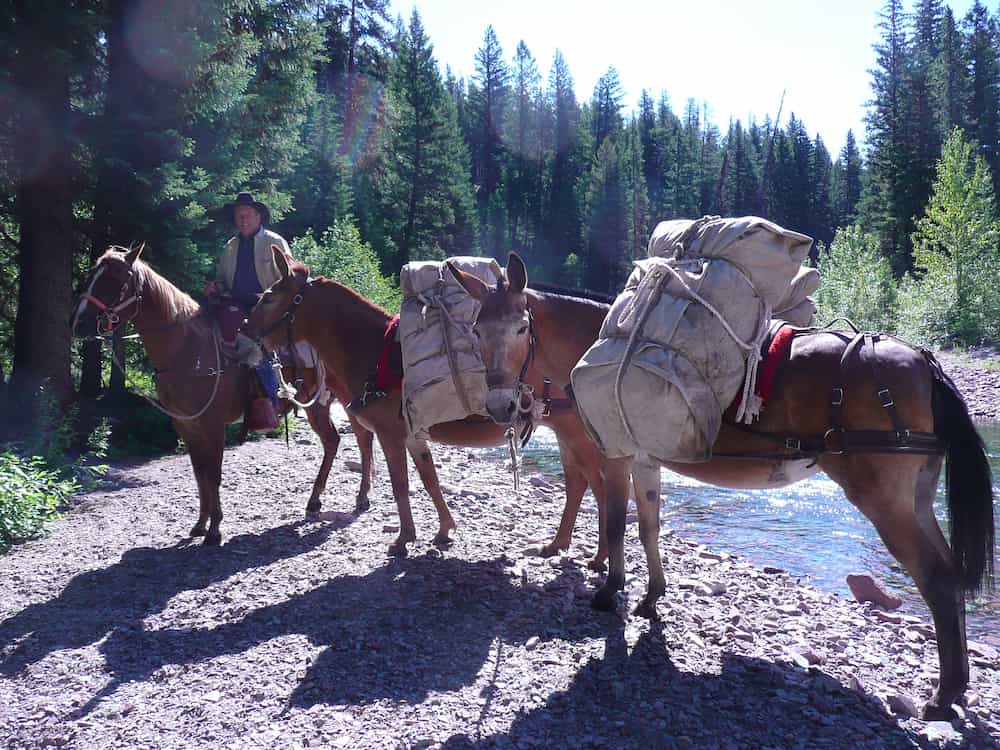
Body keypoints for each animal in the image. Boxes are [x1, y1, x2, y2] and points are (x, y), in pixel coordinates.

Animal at [70, 245, 376, 545]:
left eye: (115, 281)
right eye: (92, 275)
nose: (79, 323)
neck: (189, 349)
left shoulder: (213, 424)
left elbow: (214, 474)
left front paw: (215, 529)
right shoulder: (186, 424)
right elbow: (199, 474)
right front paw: (200, 524)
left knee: (361, 439)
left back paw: (360, 497)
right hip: (319, 405)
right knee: (335, 441)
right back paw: (317, 500)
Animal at [243, 246, 610, 563]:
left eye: (268, 298)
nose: (241, 338)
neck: (375, 354)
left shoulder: (391, 435)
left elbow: (401, 485)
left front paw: (404, 539)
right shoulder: (413, 434)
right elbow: (429, 479)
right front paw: (445, 530)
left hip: (579, 436)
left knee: (599, 485)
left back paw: (600, 556)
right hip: (566, 435)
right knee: (579, 484)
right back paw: (558, 544)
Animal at [449, 252, 995, 721]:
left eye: (521, 327)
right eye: (476, 328)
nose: (499, 406)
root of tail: (922, 360)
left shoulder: (616, 458)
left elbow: (615, 526)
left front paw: (610, 591)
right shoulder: (645, 462)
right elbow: (648, 527)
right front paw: (652, 597)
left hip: (886, 503)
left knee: (937, 580)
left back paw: (943, 696)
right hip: (915, 500)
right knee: (948, 575)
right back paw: (958, 686)